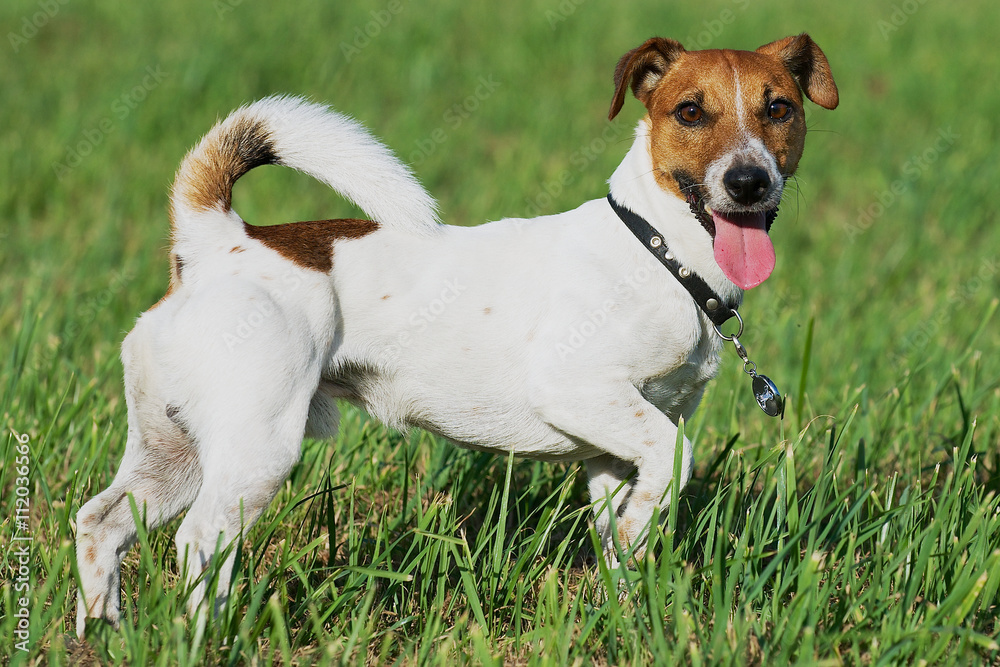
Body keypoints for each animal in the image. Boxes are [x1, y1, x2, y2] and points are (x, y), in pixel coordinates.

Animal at [76, 32, 836, 636]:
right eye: (690, 112)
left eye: (779, 109)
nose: (748, 181)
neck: (661, 252)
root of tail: (216, 240)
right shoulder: (584, 392)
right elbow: (674, 462)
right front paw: (635, 542)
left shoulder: (613, 449)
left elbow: (625, 523)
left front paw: (624, 606)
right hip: (255, 450)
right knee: (198, 541)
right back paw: (205, 635)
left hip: (173, 451)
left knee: (100, 523)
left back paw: (100, 631)